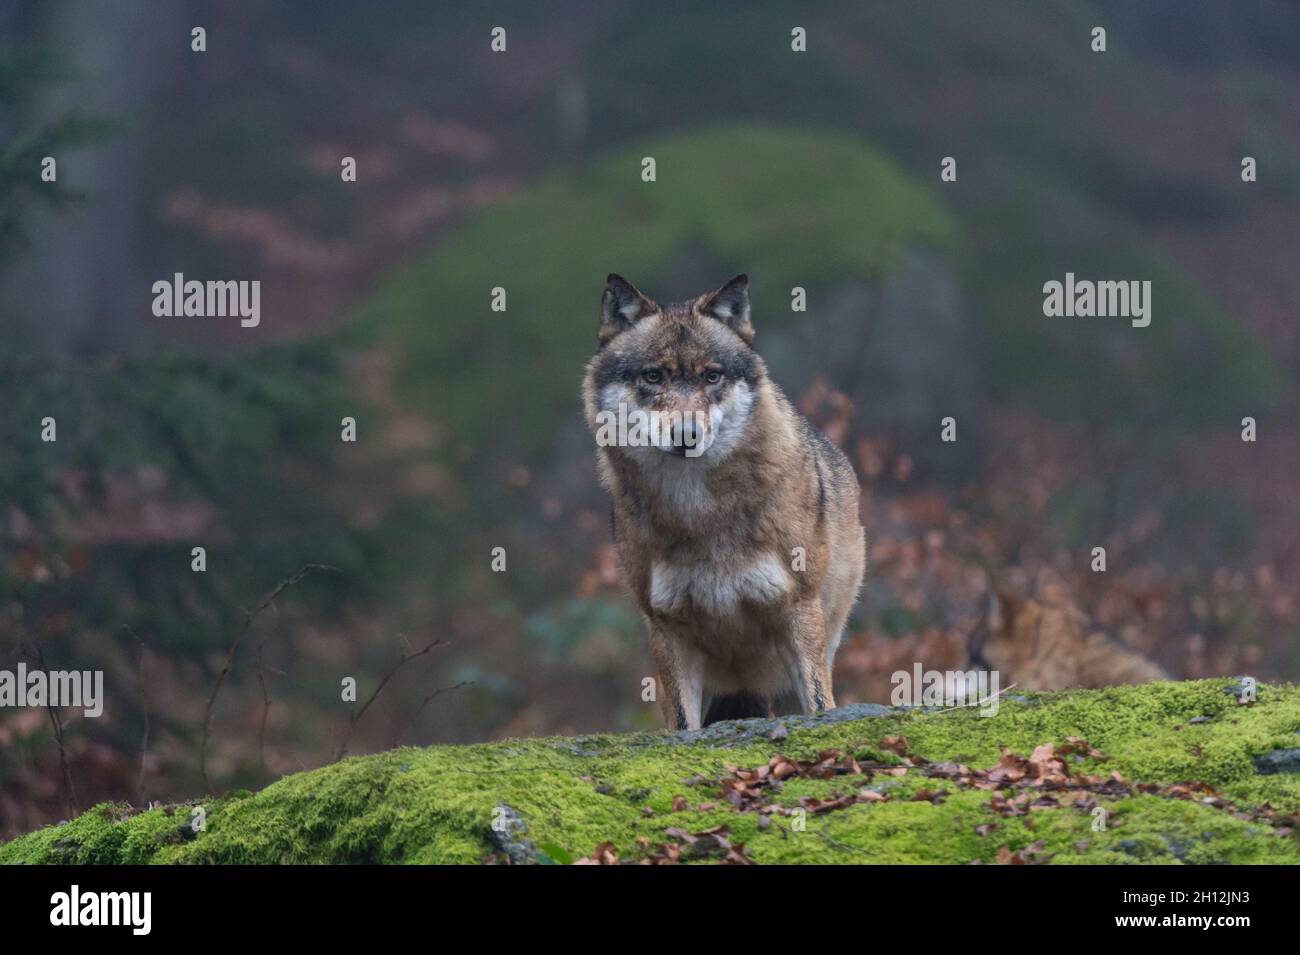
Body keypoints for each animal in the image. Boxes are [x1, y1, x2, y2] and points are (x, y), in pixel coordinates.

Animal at [582, 273, 866, 729]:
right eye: (653, 376)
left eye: (712, 376)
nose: (686, 435)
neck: (699, 511)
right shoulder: (667, 628)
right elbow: (684, 725)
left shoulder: (799, 609)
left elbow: (820, 705)